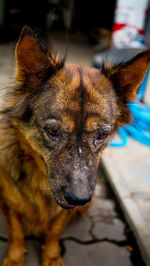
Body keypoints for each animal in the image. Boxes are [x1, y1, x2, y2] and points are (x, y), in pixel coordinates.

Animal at [0, 25, 149, 266]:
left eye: (102, 135)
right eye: (52, 131)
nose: (79, 198)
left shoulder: (65, 210)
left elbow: (54, 231)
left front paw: (51, 256)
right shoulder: (8, 201)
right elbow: (15, 232)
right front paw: (14, 258)